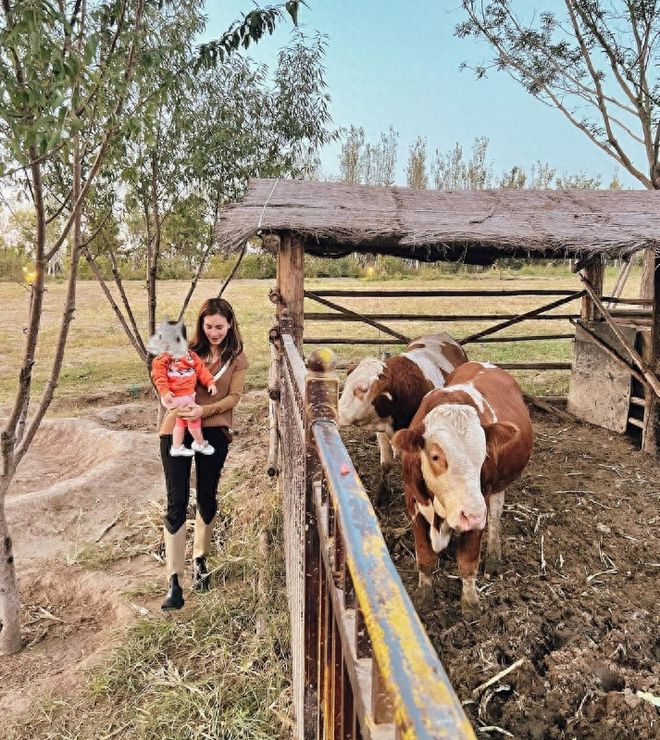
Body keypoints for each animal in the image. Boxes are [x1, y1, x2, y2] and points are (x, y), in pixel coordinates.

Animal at [338, 334, 466, 502]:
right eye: (346, 384)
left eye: (363, 389)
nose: (337, 412)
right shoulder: (382, 431)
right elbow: (386, 464)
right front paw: (383, 493)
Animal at [390, 362, 532, 612]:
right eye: (436, 456)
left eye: (484, 454)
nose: (472, 515)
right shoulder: (413, 503)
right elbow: (425, 559)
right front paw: (424, 598)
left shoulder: (480, 504)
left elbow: (467, 562)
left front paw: (470, 605)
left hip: (496, 489)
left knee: (495, 516)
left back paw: (493, 558)